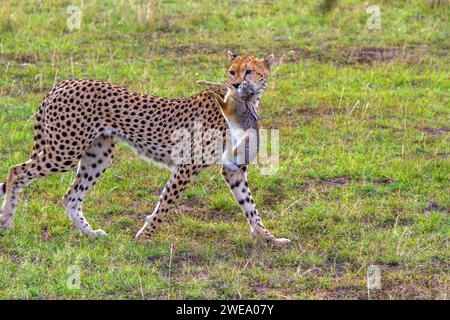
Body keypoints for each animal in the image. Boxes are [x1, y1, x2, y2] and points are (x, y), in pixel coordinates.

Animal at [0, 51, 290, 246]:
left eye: (249, 71)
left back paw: (90, 234)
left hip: (98, 154)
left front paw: (268, 238)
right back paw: (6, 221)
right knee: (16, 171)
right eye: (232, 71)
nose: (236, 85)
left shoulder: (233, 169)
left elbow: (250, 206)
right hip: (65, 150)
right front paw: (143, 237)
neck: (242, 105)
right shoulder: (186, 165)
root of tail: (63, 83)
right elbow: (166, 204)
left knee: (70, 197)